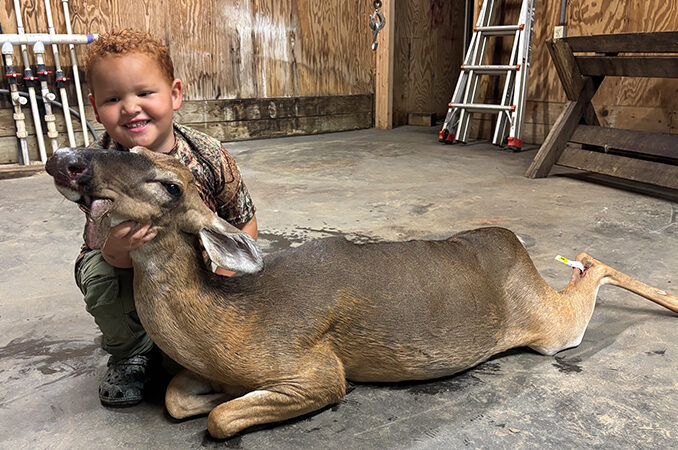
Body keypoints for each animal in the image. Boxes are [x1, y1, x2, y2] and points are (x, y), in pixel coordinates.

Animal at [45, 146, 678, 439]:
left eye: (170, 185)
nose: (67, 159)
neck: (229, 324)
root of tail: (510, 242)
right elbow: (182, 400)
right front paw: (207, 393)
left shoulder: (318, 370)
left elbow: (221, 419)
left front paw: (223, 402)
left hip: (548, 325)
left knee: (591, 274)